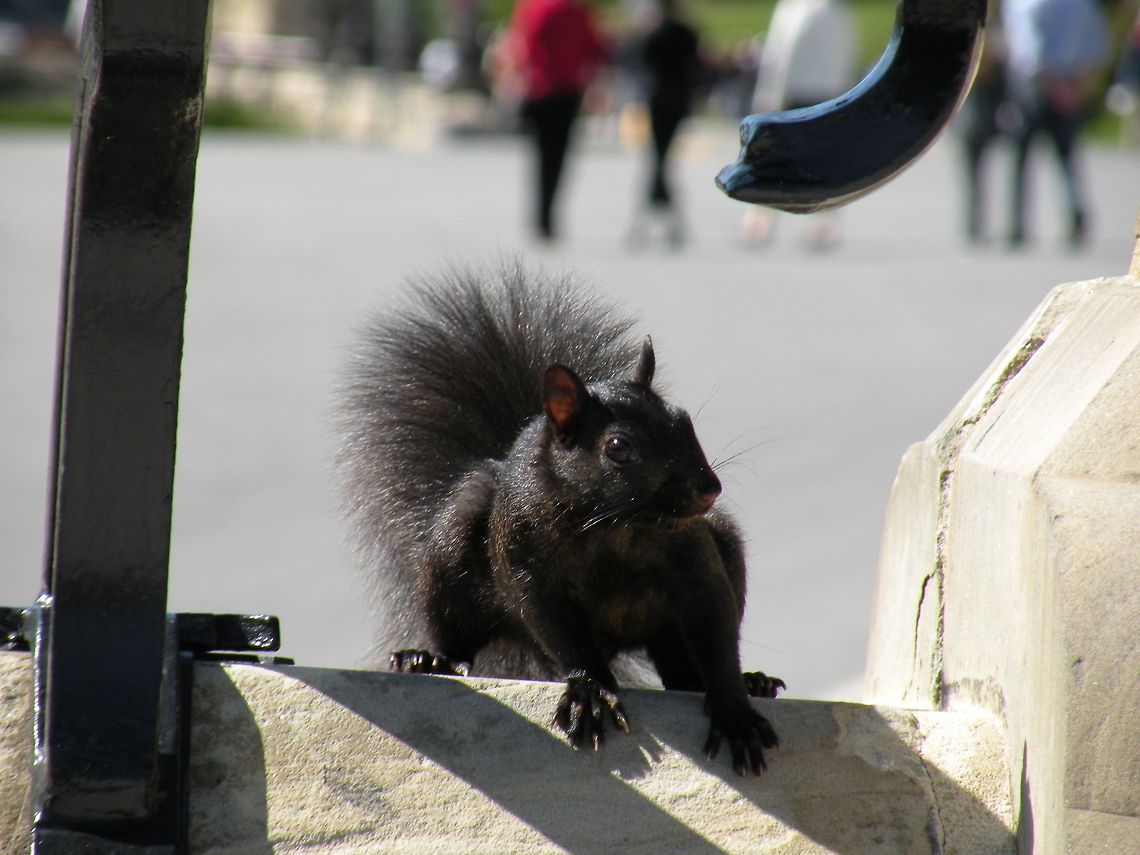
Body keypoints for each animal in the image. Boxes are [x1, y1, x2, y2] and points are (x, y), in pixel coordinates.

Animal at [336, 261, 784, 775]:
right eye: (619, 448)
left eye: (684, 420)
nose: (708, 488)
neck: (615, 526)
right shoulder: (528, 569)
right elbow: (560, 632)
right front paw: (590, 693)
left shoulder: (697, 564)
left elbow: (717, 630)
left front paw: (734, 709)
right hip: (451, 546)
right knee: (455, 633)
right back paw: (427, 660)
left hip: (709, 564)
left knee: (683, 670)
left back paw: (752, 681)